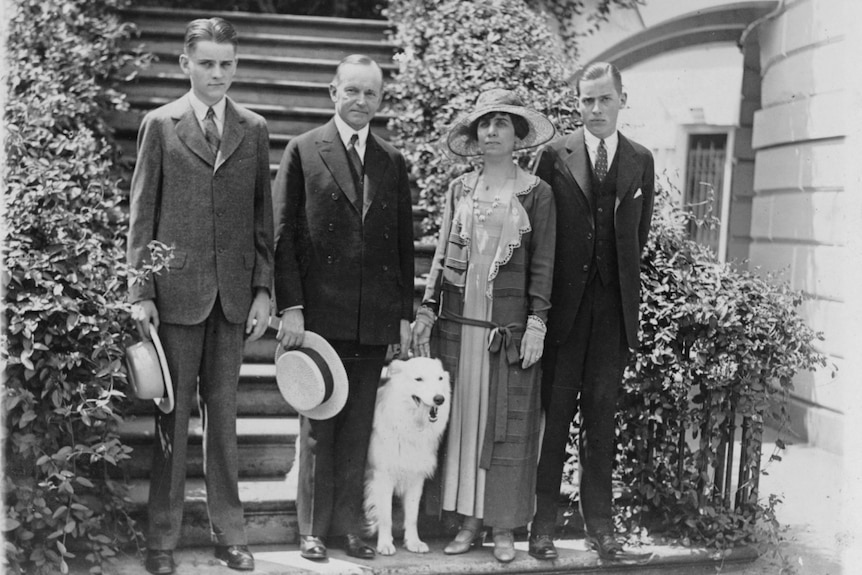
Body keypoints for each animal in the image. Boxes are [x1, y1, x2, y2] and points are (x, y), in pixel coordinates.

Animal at [364, 358, 452, 556]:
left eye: (440, 378)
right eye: (418, 379)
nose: (439, 399)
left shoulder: (416, 478)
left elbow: (412, 516)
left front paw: (413, 542)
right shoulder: (382, 477)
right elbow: (386, 516)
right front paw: (385, 544)